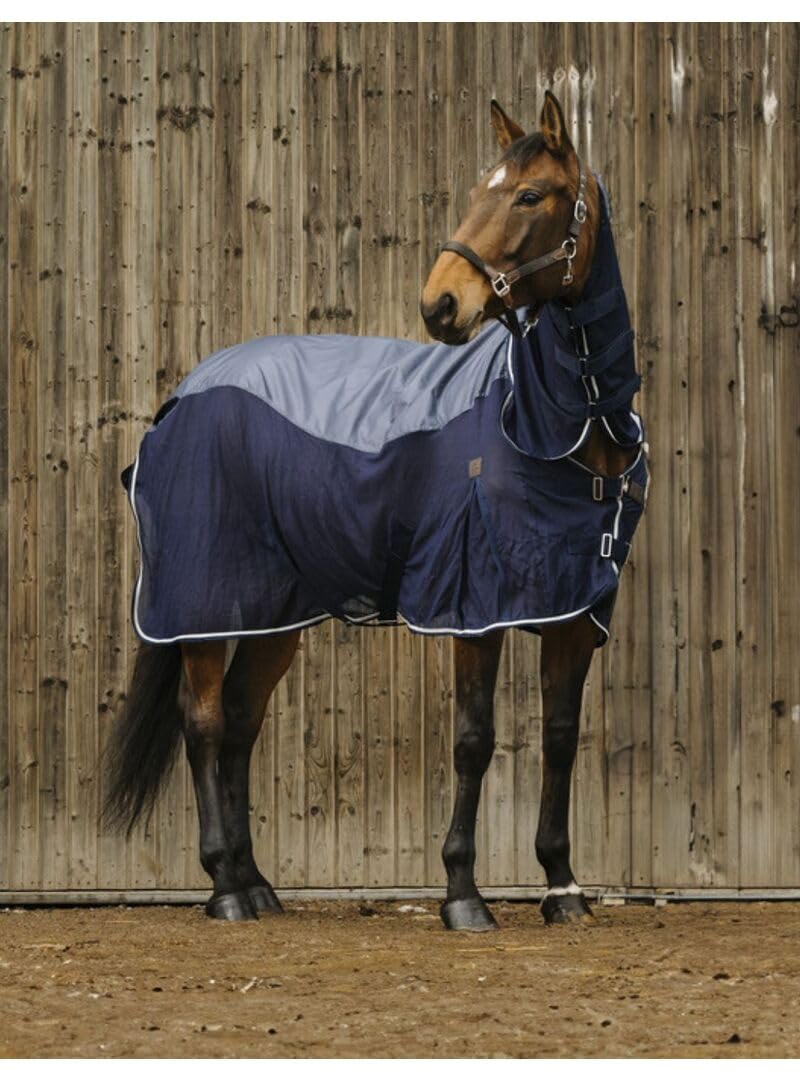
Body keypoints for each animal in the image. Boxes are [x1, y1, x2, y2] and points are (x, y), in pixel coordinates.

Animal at [105, 91, 647, 931]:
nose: (440, 304)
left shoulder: (573, 612)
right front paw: (463, 895)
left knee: (241, 723)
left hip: (274, 613)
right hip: (203, 600)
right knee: (204, 721)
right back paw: (224, 888)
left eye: (529, 195)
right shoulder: (473, 605)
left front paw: (563, 889)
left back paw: (257, 885)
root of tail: (179, 398)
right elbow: (474, 738)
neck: (557, 424)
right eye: (478, 189)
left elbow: (560, 737)